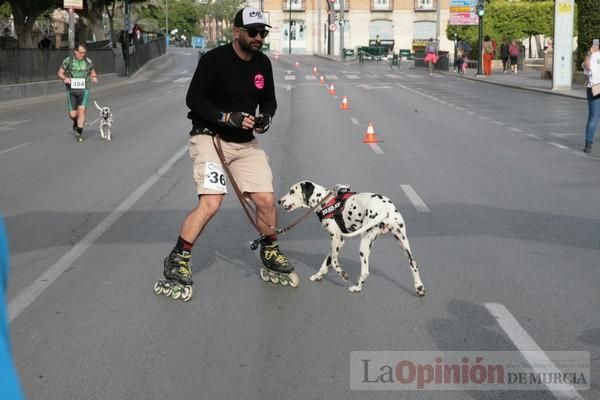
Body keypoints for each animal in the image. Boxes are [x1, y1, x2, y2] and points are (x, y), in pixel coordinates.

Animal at [278, 180, 424, 296]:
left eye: (292, 191)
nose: (279, 201)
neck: (324, 201)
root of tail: (386, 209)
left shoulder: (337, 239)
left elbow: (334, 261)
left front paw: (342, 274)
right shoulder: (336, 243)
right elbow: (326, 261)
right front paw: (318, 275)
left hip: (364, 245)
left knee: (365, 272)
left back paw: (357, 288)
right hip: (402, 241)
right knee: (413, 263)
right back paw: (419, 287)